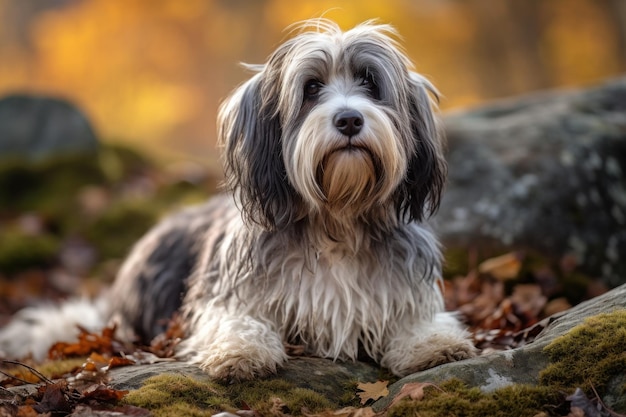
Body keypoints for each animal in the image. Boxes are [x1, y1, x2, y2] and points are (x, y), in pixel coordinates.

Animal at [0, 19, 472, 380]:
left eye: (370, 83)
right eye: (312, 87)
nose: (350, 119)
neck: (336, 220)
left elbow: (418, 320)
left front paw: (433, 343)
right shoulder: (227, 297)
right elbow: (236, 321)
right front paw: (242, 351)